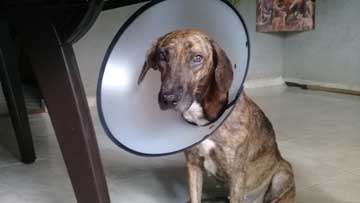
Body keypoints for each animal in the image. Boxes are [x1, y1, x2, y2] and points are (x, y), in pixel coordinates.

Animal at [138, 29, 296, 202]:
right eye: (162, 56)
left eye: (197, 58)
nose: (168, 99)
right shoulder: (193, 165)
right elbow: (195, 196)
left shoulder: (237, 176)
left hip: (282, 174)